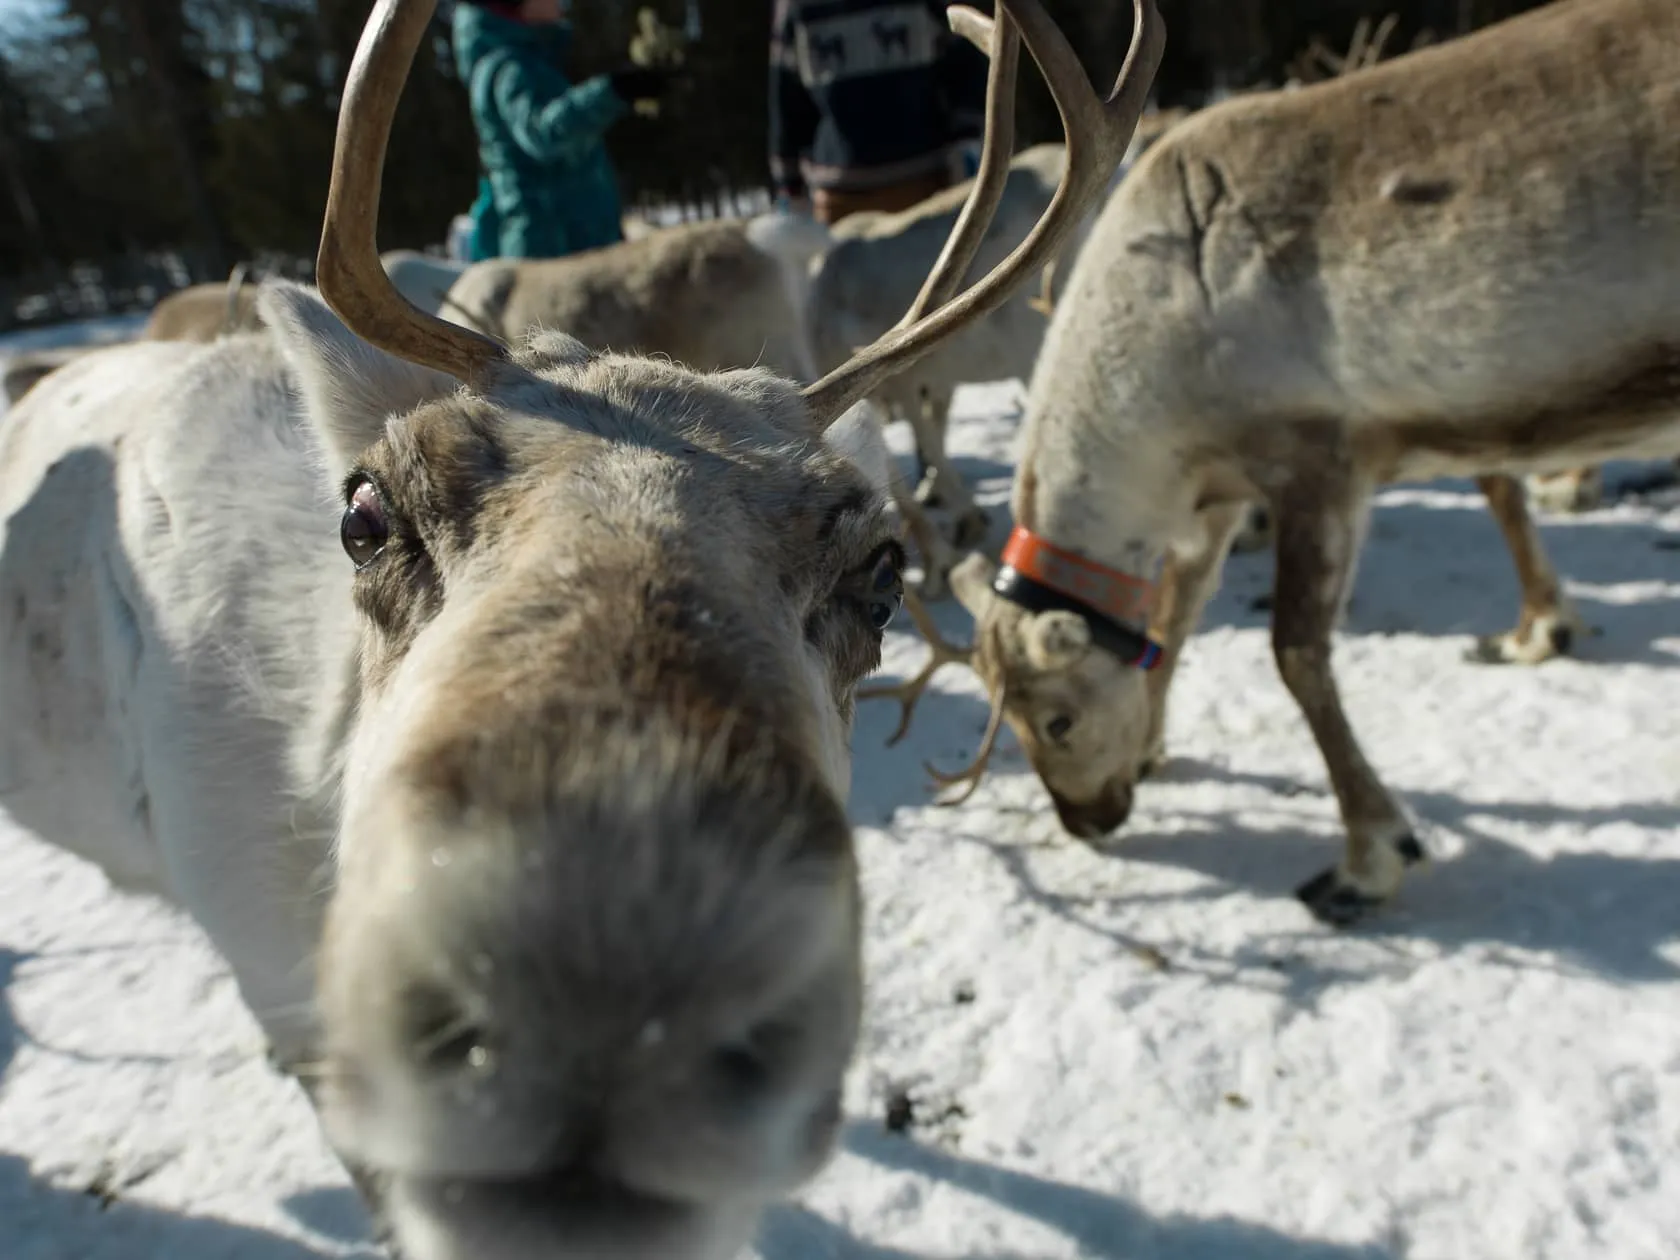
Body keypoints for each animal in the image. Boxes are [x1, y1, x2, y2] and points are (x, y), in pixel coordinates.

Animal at [866, 0, 1680, 930]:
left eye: (1057, 719)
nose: (1086, 821)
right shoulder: (1220, 498)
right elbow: (1174, 619)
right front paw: (1153, 748)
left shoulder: (1320, 459)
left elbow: (1296, 655)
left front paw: (1369, 856)